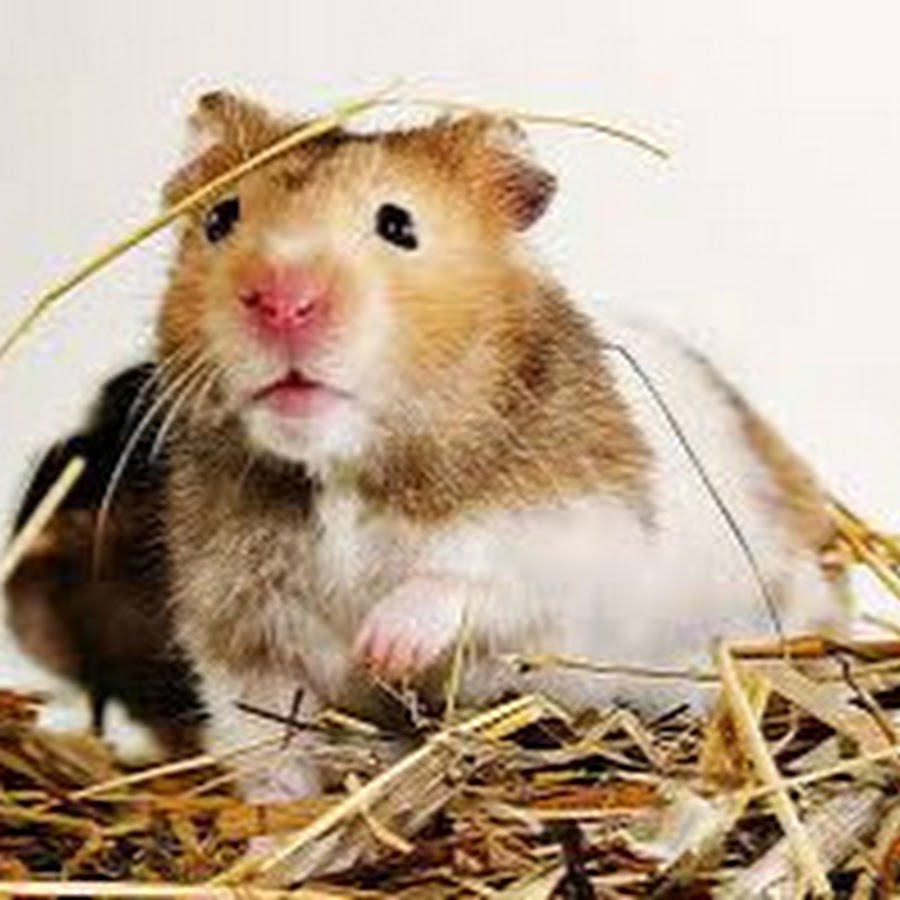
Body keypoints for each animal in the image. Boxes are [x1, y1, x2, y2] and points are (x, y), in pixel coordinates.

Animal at [157, 91, 843, 800]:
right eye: (220, 218)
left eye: (398, 224)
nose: (281, 302)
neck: (340, 470)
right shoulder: (240, 634)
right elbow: (267, 739)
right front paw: (277, 817)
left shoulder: (566, 549)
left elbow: (460, 582)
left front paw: (379, 649)